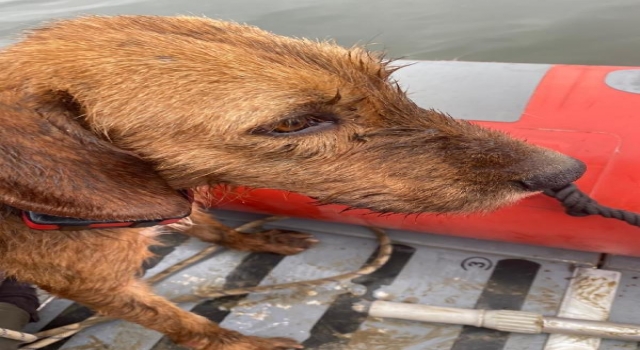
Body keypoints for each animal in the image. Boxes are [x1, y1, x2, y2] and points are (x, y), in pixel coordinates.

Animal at [0, 16, 584, 350]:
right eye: (293, 123)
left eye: (383, 76)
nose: (564, 171)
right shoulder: (95, 285)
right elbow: (181, 322)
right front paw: (239, 343)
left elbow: (209, 225)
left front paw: (258, 238)